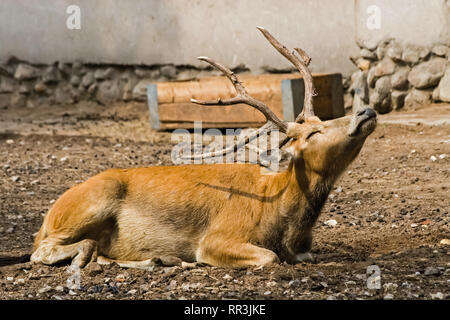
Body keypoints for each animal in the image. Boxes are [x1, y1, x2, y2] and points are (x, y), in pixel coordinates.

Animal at [29, 27, 378, 268]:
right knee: (43, 252)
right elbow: (268, 257)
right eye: (310, 133)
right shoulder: (217, 238)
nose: (366, 111)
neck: (284, 225)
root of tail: (47, 217)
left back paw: (157, 260)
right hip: (89, 204)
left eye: (321, 119)